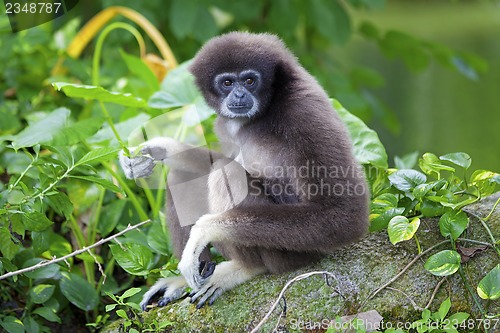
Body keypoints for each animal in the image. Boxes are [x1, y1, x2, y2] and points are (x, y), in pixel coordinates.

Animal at [119, 31, 370, 308]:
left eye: (249, 80)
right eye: (227, 83)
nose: (239, 95)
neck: (266, 108)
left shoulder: (305, 114)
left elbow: (342, 214)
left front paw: (204, 230)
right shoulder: (223, 124)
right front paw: (159, 149)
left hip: (292, 253)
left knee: (225, 172)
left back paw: (244, 268)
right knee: (183, 175)